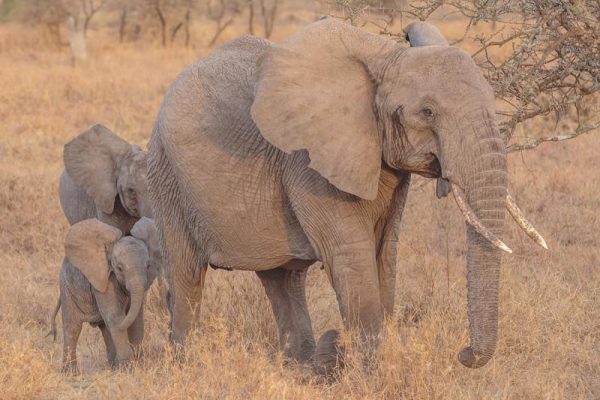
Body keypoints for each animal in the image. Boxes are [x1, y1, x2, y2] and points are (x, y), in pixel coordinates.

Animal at [48, 216, 159, 372]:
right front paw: (127, 366)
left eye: (148, 266)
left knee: (105, 328)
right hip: (66, 286)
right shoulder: (105, 280)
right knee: (73, 327)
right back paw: (70, 372)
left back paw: (112, 365)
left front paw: (137, 362)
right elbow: (115, 316)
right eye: (119, 268)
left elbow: (136, 317)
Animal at [148, 18, 548, 368]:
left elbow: (384, 251)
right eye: (428, 112)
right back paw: (184, 365)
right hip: (167, 178)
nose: (464, 354)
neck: (387, 58)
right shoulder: (308, 162)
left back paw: (301, 367)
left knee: (283, 279)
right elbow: (351, 253)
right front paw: (375, 374)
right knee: (187, 274)